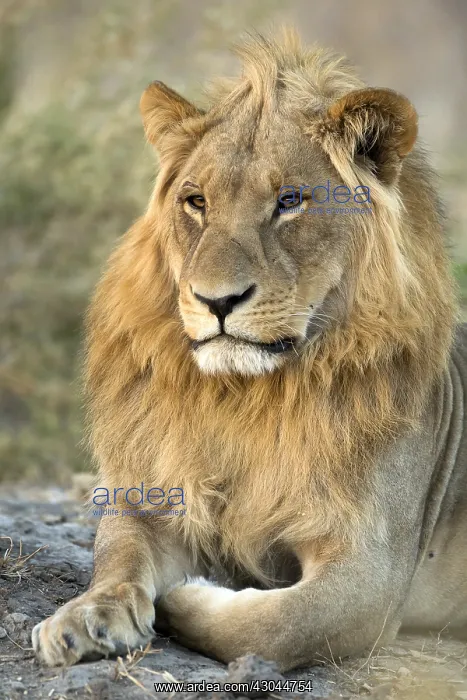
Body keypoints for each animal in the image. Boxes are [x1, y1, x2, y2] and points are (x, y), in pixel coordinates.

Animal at [32, 29, 467, 671]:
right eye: (196, 202)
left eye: (289, 201)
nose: (216, 300)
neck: (247, 398)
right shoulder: (156, 495)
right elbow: (116, 555)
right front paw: (85, 618)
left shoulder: (372, 570)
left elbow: (276, 625)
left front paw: (191, 596)